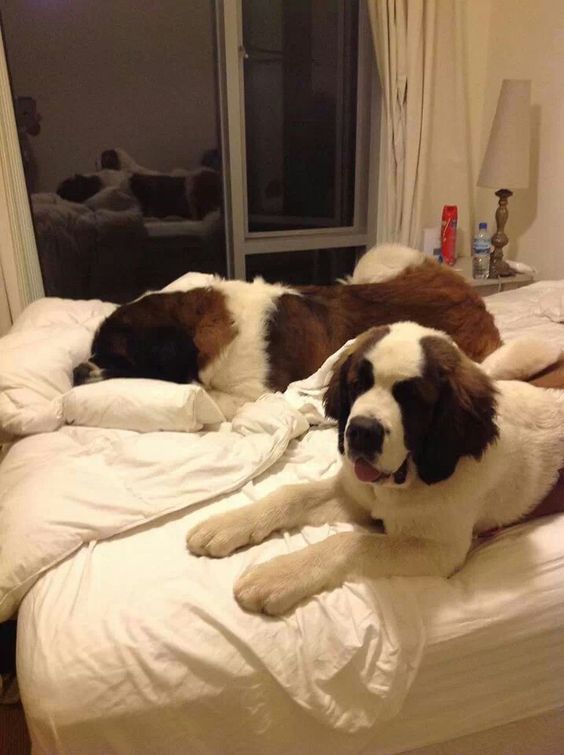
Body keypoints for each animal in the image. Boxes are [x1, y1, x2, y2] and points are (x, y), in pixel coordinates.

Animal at [187, 320, 564, 616]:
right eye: (358, 385)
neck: (410, 477)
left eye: (413, 400)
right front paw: (228, 524)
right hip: (524, 352)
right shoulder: (352, 493)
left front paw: (278, 575)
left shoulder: (439, 550)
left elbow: (353, 542)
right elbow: (291, 494)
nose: (362, 432)